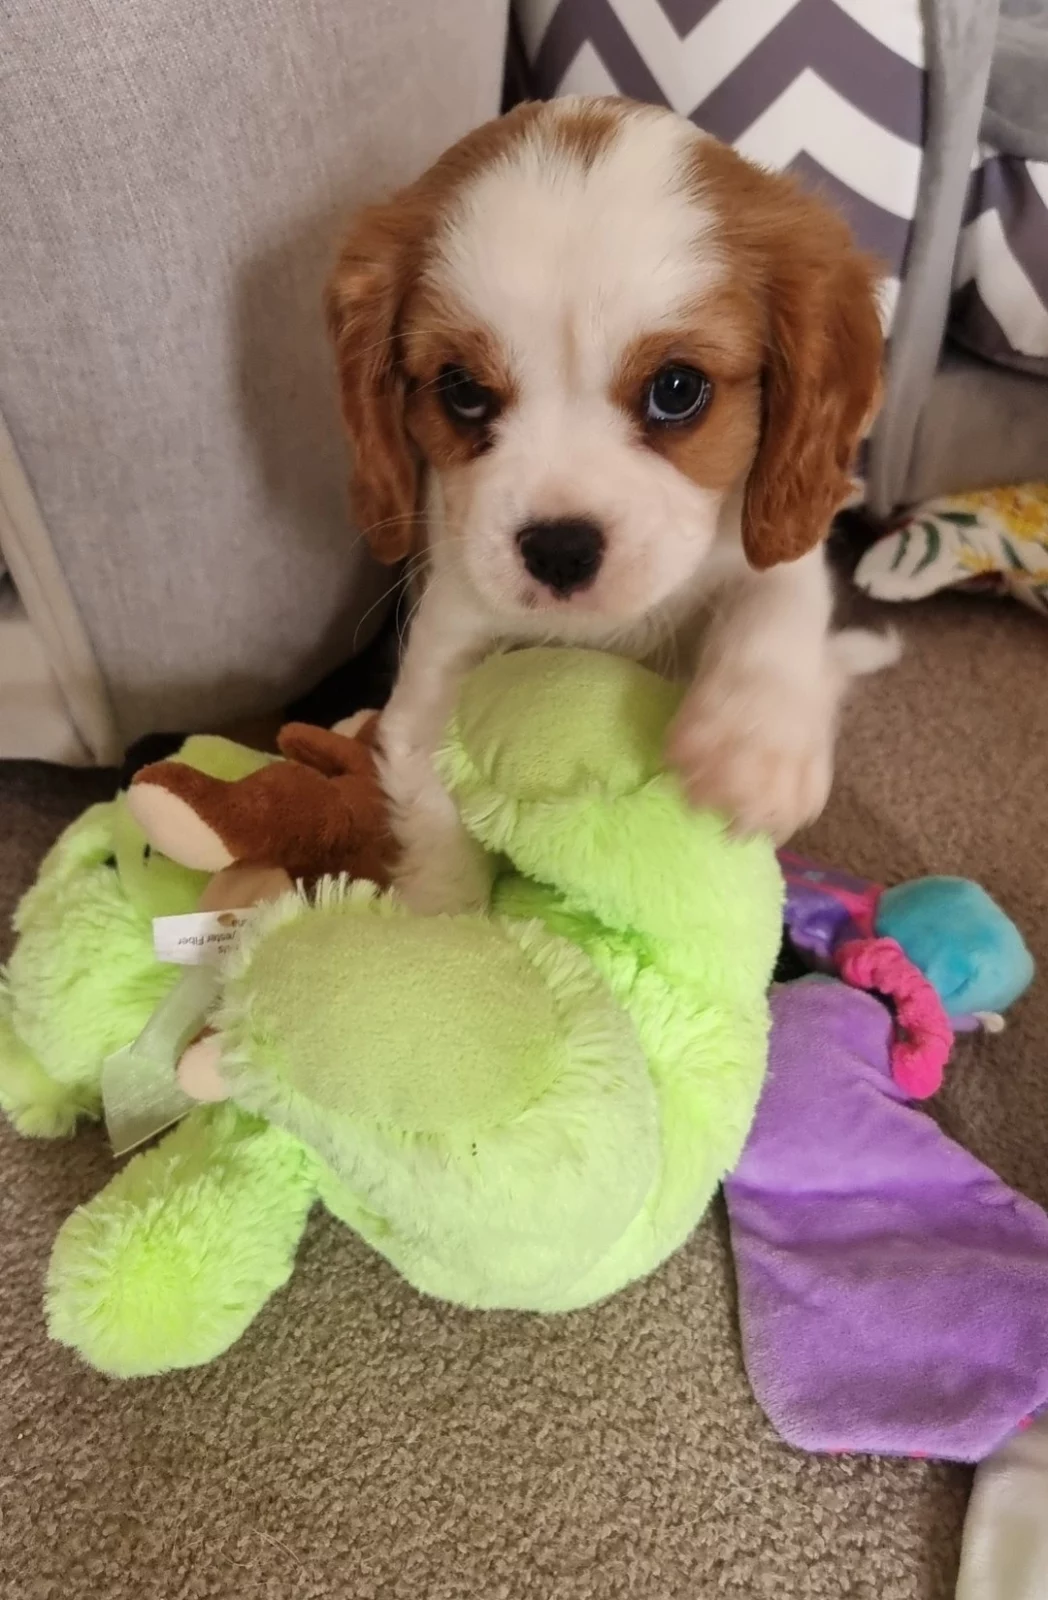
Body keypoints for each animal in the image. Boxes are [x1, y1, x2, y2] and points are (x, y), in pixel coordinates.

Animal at [326, 96, 893, 914]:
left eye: (677, 389)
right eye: (462, 389)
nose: (559, 548)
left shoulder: (763, 531)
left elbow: (781, 590)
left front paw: (754, 744)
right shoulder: (446, 636)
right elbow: (433, 807)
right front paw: (447, 927)